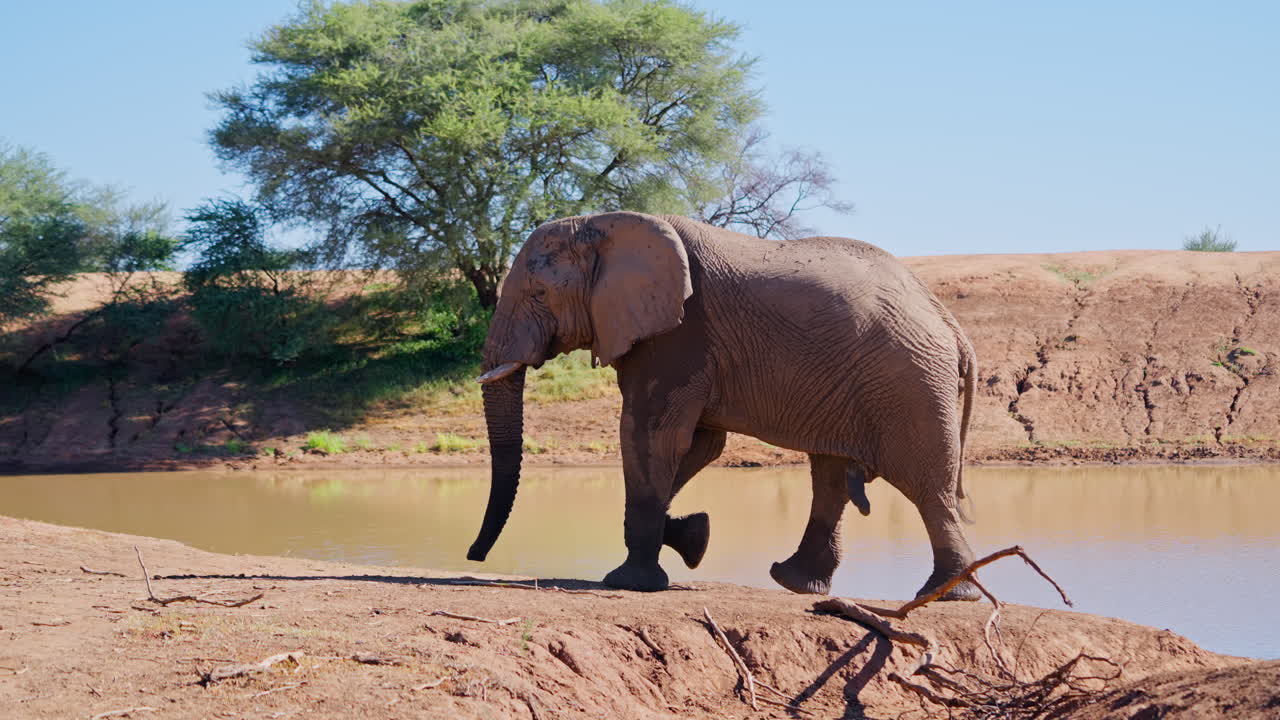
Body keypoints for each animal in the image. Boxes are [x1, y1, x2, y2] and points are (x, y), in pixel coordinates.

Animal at [467, 211, 980, 600]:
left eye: (539, 295)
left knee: (925, 484)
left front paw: (630, 582)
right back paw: (796, 582)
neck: (605, 224)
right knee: (832, 476)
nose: (474, 555)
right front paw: (693, 537)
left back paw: (946, 594)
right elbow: (699, 444)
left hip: (909, 383)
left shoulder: (679, 334)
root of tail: (953, 327)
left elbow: (652, 435)